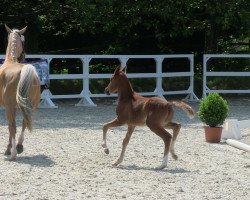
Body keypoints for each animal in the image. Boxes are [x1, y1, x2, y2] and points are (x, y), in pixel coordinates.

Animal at [0, 25, 40, 160]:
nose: (24, 55)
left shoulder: (10, 107)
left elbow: (10, 126)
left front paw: (8, 149)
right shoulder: (17, 108)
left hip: (10, 107)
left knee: (12, 126)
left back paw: (13, 153)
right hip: (30, 106)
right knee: (24, 123)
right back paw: (19, 146)